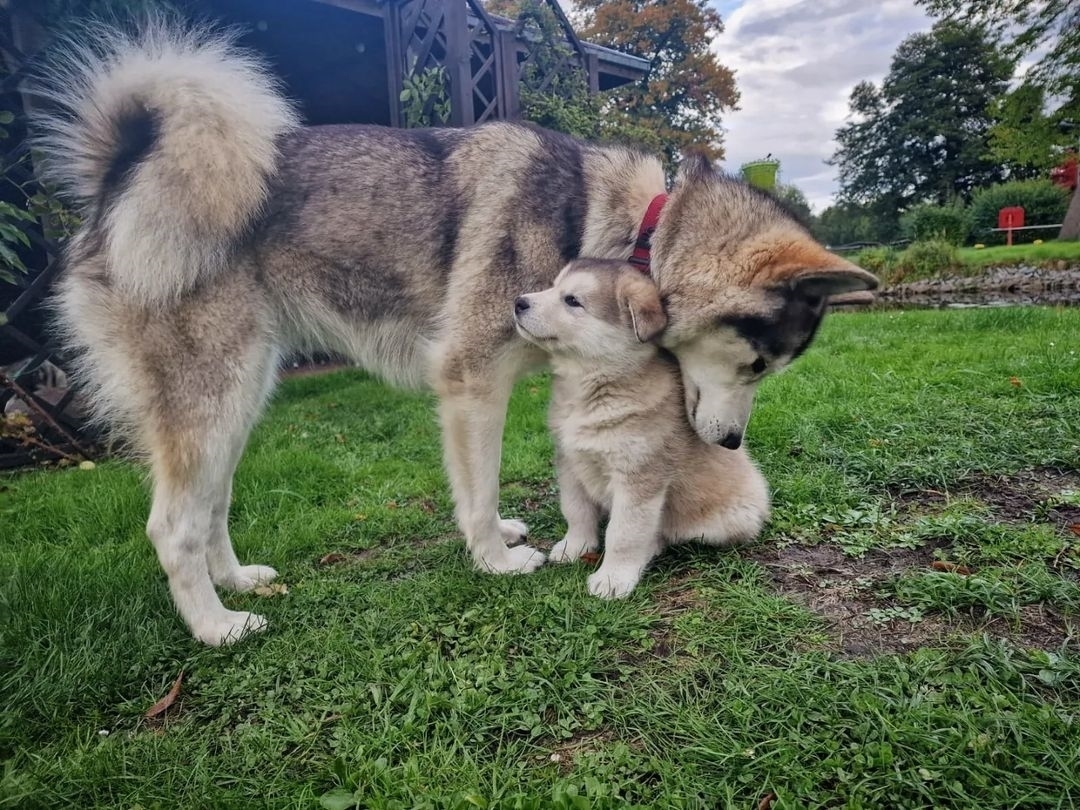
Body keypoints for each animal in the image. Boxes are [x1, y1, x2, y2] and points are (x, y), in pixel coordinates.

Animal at [511, 263, 768, 600]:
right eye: (552, 287)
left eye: (572, 301)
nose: (518, 302)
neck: (590, 388)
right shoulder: (570, 463)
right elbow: (576, 510)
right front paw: (574, 546)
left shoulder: (638, 479)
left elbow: (624, 533)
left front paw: (613, 578)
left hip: (724, 519)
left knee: (663, 533)